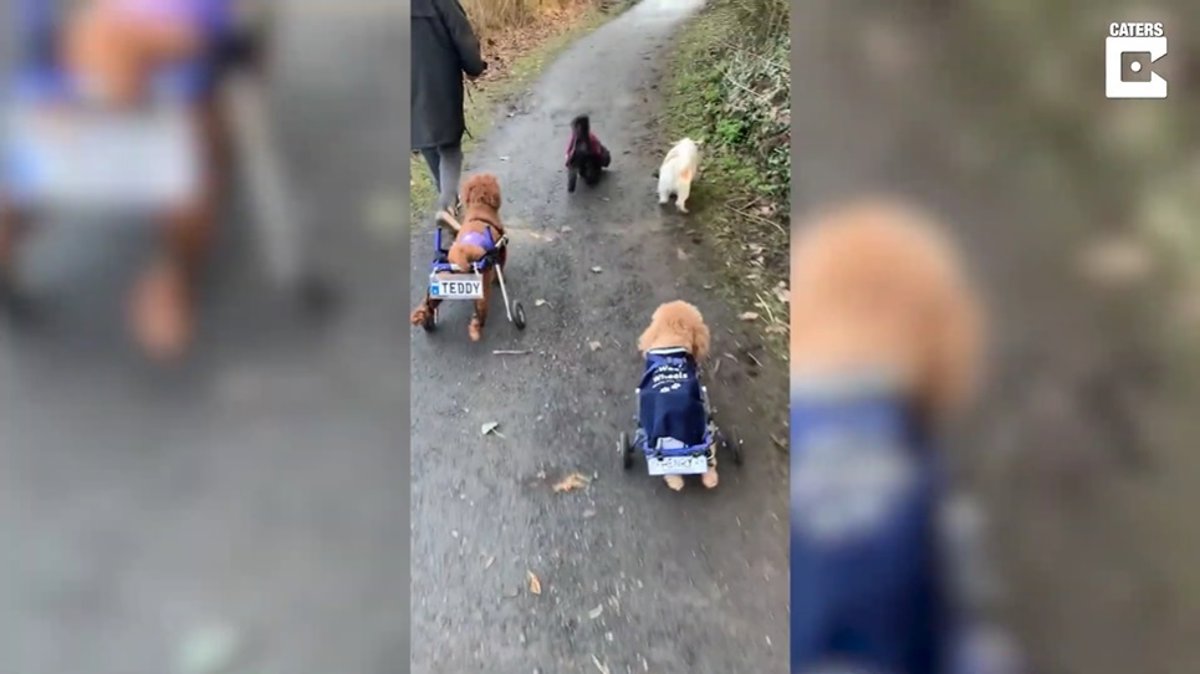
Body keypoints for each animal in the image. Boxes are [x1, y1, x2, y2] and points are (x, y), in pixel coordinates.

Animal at [410, 173, 506, 342]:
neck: (479, 209)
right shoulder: (501, 249)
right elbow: (501, 266)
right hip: (481, 292)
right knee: (480, 314)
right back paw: (475, 328)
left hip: (441, 283)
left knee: (428, 304)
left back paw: (421, 316)